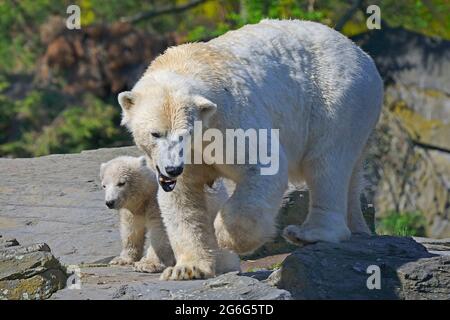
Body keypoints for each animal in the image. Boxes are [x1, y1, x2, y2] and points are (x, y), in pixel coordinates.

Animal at [118, 20, 382, 280]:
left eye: (185, 135)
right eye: (155, 134)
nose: (172, 170)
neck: (191, 62)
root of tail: (362, 54)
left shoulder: (232, 120)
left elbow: (264, 165)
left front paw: (226, 237)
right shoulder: (187, 158)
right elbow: (183, 199)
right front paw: (187, 268)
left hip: (336, 97)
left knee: (326, 163)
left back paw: (309, 232)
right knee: (350, 172)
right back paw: (359, 228)